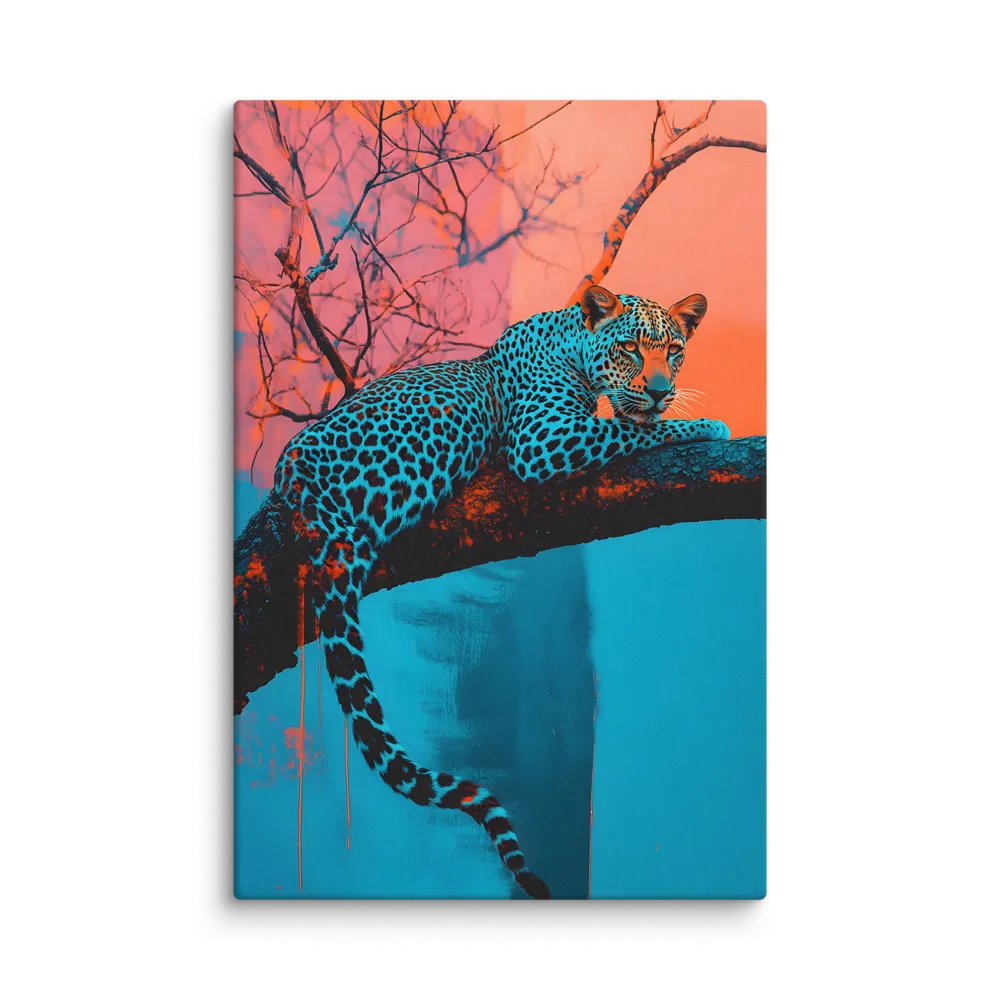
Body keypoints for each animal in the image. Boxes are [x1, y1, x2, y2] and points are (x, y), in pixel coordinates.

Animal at [273, 284, 730, 899]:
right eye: (631, 348)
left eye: (675, 351)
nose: (660, 390)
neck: (570, 342)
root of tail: (289, 476)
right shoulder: (543, 440)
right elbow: (635, 430)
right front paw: (705, 424)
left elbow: (633, 422)